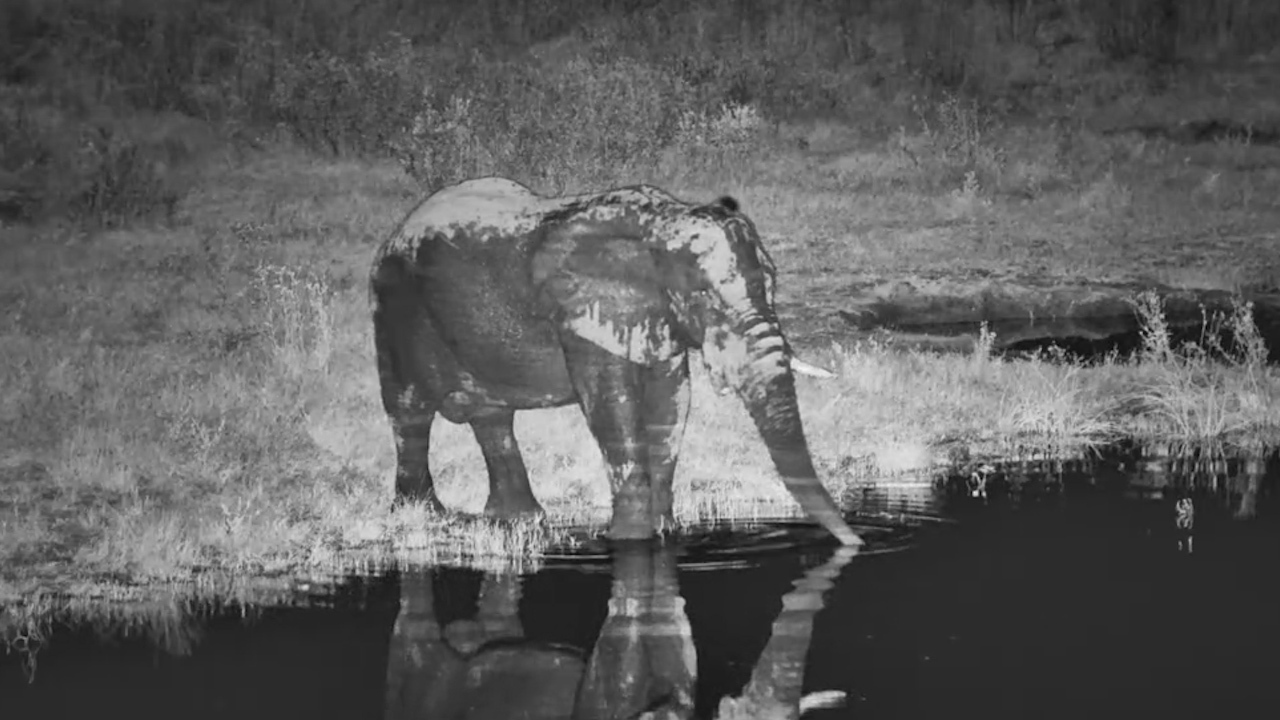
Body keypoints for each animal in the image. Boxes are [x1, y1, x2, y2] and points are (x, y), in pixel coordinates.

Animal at [370, 177, 859, 545]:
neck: (661, 224)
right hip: (394, 307)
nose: (856, 542)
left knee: (493, 419)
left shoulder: (657, 321)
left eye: (772, 284)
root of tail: (398, 227)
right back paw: (422, 515)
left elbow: (671, 402)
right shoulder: (583, 314)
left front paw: (664, 534)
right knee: (409, 414)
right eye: (705, 297)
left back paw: (518, 520)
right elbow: (613, 408)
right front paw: (628, 541)